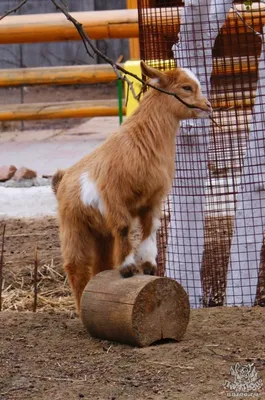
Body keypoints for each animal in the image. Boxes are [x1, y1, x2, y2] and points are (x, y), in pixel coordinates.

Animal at [52, 61, 211, 312]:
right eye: (186, 87)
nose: (208, 106)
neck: (142, 140)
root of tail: (62, 180)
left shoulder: (153, 199)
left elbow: (150, 227)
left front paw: (148, 265)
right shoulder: (114, 197)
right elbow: (125, 227)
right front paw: (127, 268)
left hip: (100, 233)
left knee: (100, 264)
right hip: (73, 226)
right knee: (76, 266)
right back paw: (79, 309)